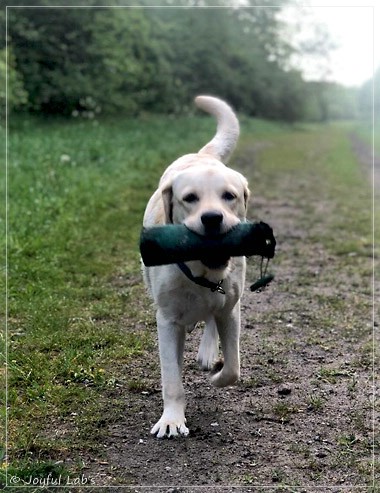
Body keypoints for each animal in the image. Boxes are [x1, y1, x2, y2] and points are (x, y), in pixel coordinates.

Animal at [142, 94, 249, 436]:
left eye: (229, 196)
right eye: (189, 198)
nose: (212, 218)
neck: (201, 273)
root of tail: (202, 155)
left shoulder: (231, 309)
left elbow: (233, 368)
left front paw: (216, 375)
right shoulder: (167, 321)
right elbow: (171, 379)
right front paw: (172, 420)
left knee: (213, 319)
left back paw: (207, 352)